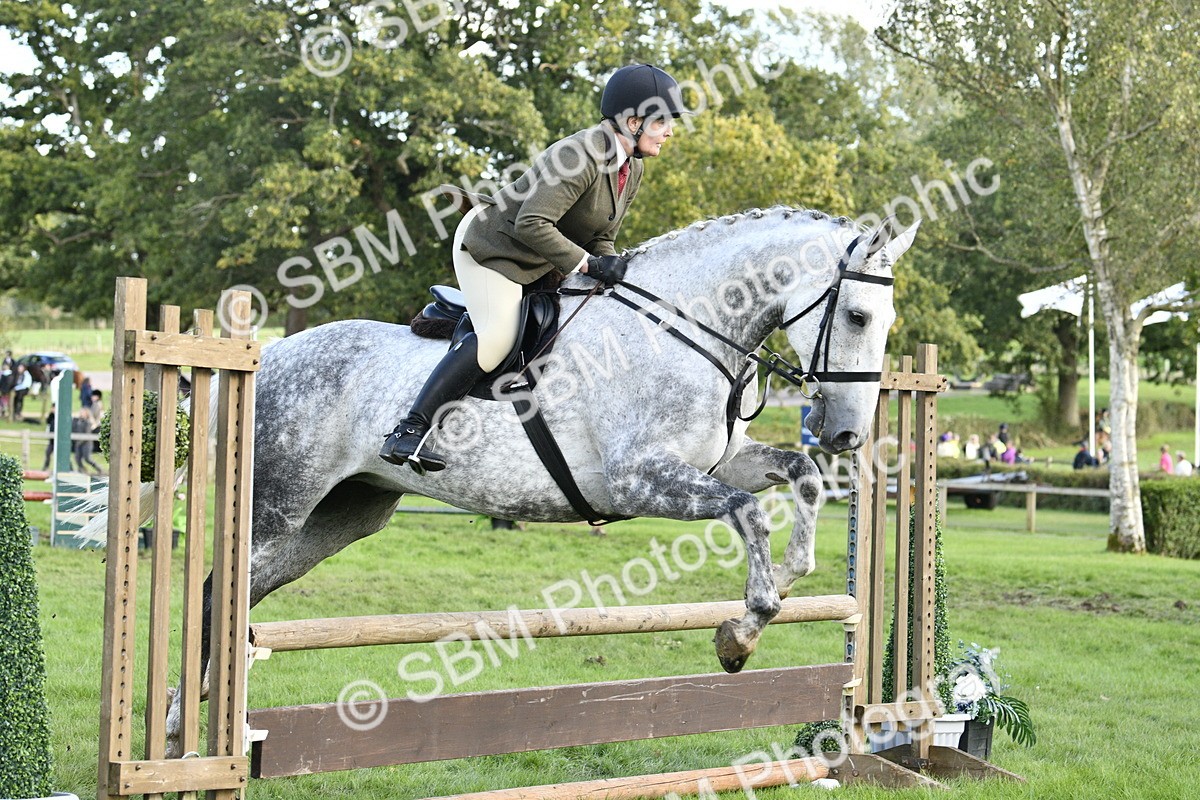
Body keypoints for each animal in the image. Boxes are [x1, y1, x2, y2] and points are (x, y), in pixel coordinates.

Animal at [151, 206, 917, 755]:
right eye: (856, 315)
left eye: (886, 320)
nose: (847, 434)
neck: (685, 325)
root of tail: (271, 351)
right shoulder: (639, 480)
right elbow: (747, 513)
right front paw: (742, 632)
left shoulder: (715, 463)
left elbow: (801, 477)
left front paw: (786, 580)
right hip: (279, 503)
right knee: (219, 589)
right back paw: (186, 733)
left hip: (342, 514)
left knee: (246, 591)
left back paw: (203, 715)